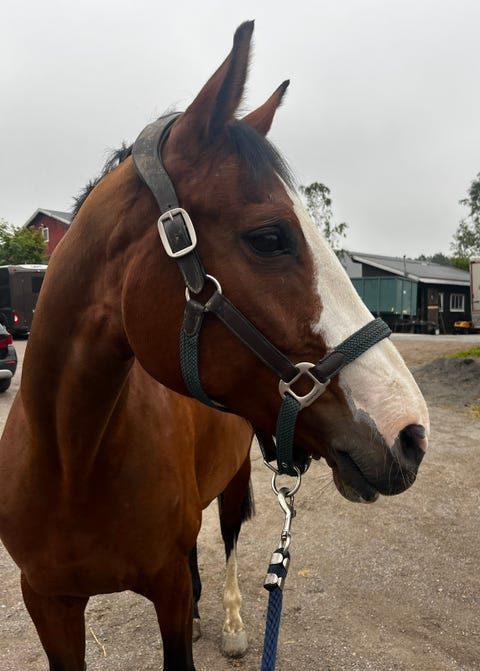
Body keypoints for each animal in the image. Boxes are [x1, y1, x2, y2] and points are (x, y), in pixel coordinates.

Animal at [0, 20, 429, 671]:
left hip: (233, 480)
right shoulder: (48, 603)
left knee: (225, 540)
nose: (410, 433)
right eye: (269, 237)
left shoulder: (167, 589)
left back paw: (227, 623)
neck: (72, 462)